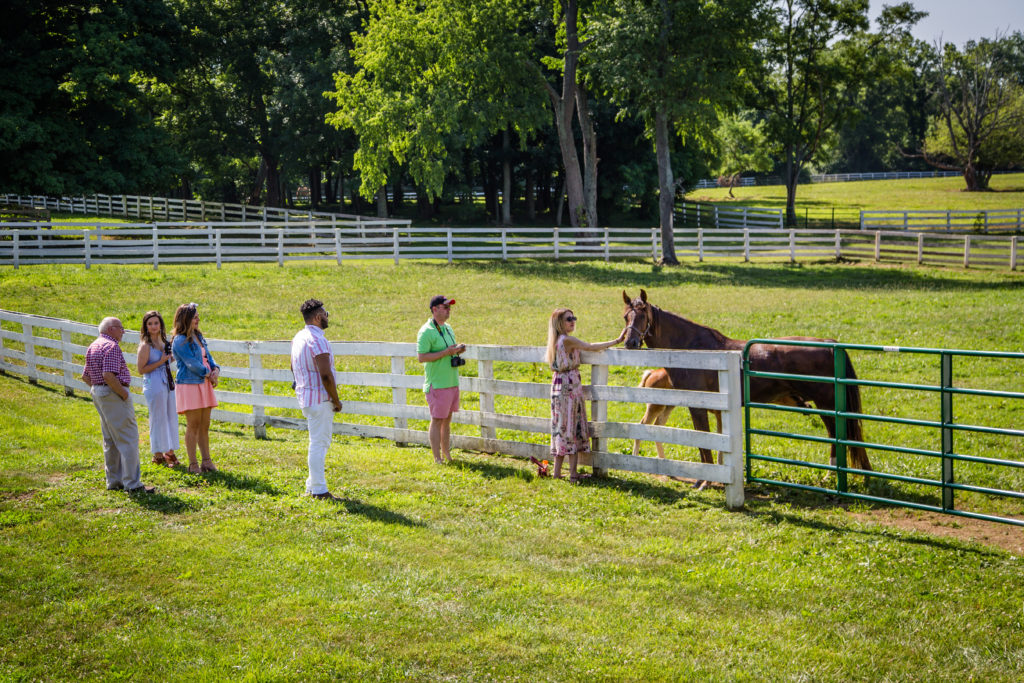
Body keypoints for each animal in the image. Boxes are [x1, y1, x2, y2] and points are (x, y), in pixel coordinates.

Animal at [618, 290, 868, 473]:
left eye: (643, 315)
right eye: (626, 316)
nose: (630, 342)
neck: (693, 348)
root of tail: (829, 344)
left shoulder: (698, 407)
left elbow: (704, 441)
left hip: (827, 405)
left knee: (838, 434)